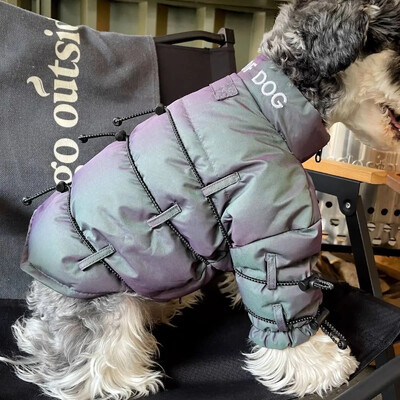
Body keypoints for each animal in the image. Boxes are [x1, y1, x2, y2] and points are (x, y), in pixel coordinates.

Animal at [2, 0, 400, 400]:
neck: (268, 104)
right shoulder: (271, 233)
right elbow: (285, 301)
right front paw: (319, 364)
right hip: (102, 299)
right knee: (84, 361)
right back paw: (128, 379)